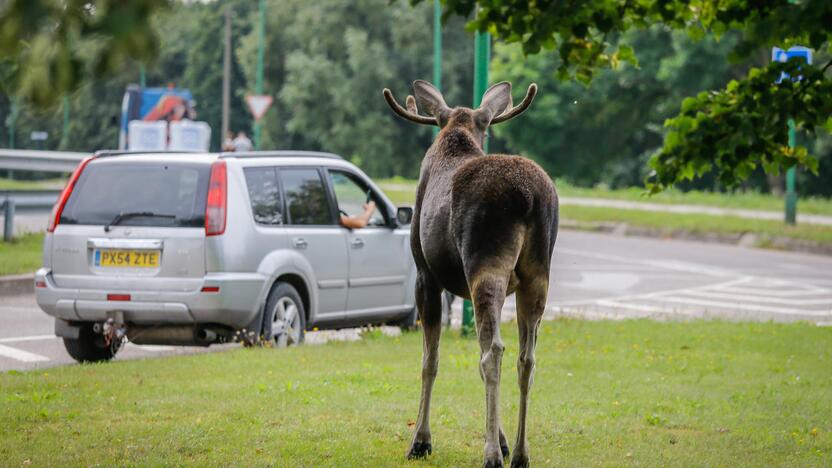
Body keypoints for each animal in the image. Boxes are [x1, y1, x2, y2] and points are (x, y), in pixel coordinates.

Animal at [384, 81, 560, 468]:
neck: (457, 132)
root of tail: (529, 198)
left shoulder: (425, 275)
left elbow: (430, 360)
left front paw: (420, 441)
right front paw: (504, 440)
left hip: (485, 264)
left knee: (493, 351)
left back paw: (491, 455)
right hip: (538, 273)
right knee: (527, 358)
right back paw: (520, 453)